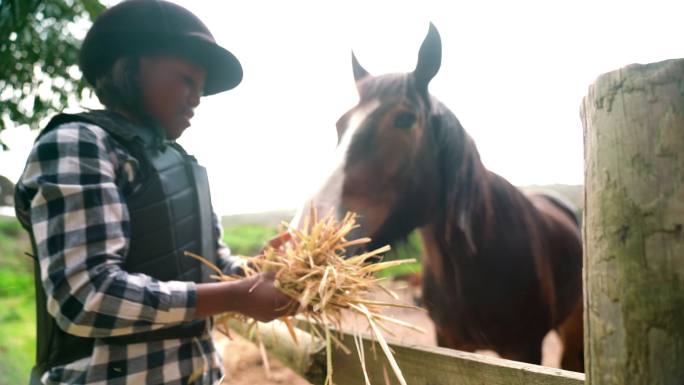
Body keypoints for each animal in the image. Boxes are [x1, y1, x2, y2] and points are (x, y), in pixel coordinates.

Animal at [292, 23, 584, 368]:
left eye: (405, 119)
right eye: (340, 125)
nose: (306, 232)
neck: (475, 260)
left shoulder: (524, 350)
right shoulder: (450, 343)